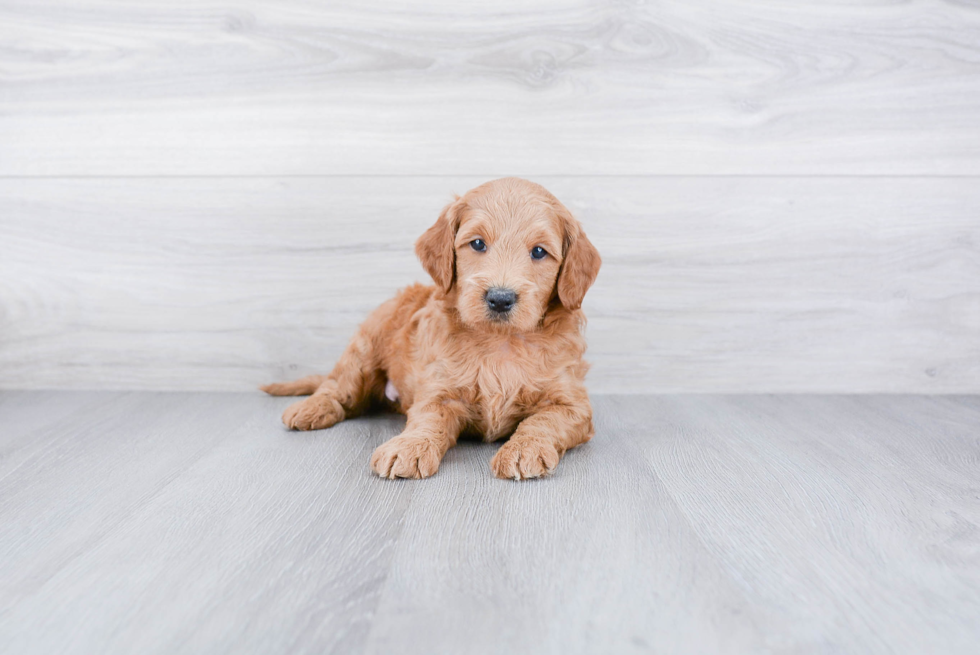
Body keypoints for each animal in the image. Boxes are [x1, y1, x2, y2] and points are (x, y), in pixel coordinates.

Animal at [260, 177, 600, 480]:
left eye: (539, 251)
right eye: (478, 244)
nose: (500, 298)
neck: (499, 341)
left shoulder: (572, 404)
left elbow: (543, 421)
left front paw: (524, 449)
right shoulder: (438, 390)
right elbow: (428, 420)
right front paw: (408, 448)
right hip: (366, 345)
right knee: (338, 386)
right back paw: (311, 408)